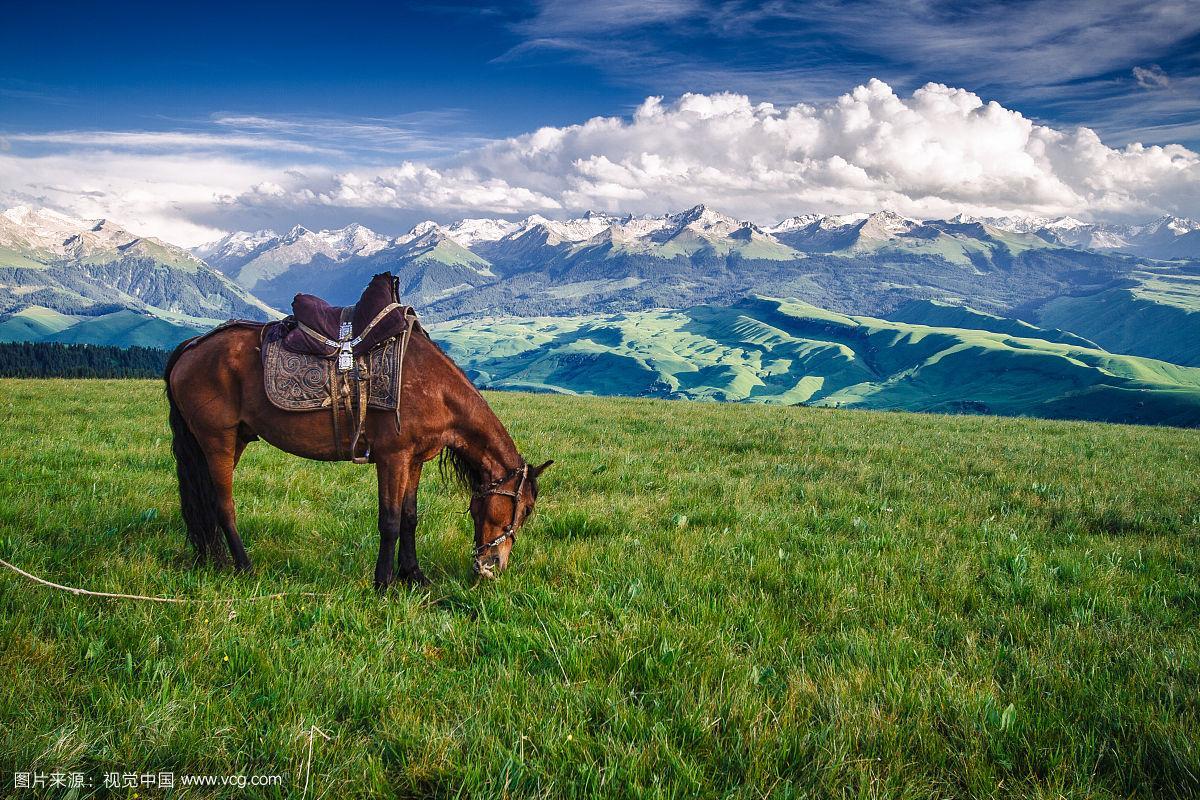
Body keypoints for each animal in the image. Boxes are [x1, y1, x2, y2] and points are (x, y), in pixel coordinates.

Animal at [160, 280, 552, 587]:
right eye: (525, 509)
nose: (493, 566)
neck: (434, 388)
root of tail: (192, 345)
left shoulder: (414, 460)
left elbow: (410, 518)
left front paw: (414, 576)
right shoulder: (392, 457)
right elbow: (390, 521)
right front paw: (384, 582)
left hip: (234, 439)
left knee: (209, 501)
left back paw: (217, 561)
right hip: (218, 440)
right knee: (223, 505)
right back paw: (243, 566)